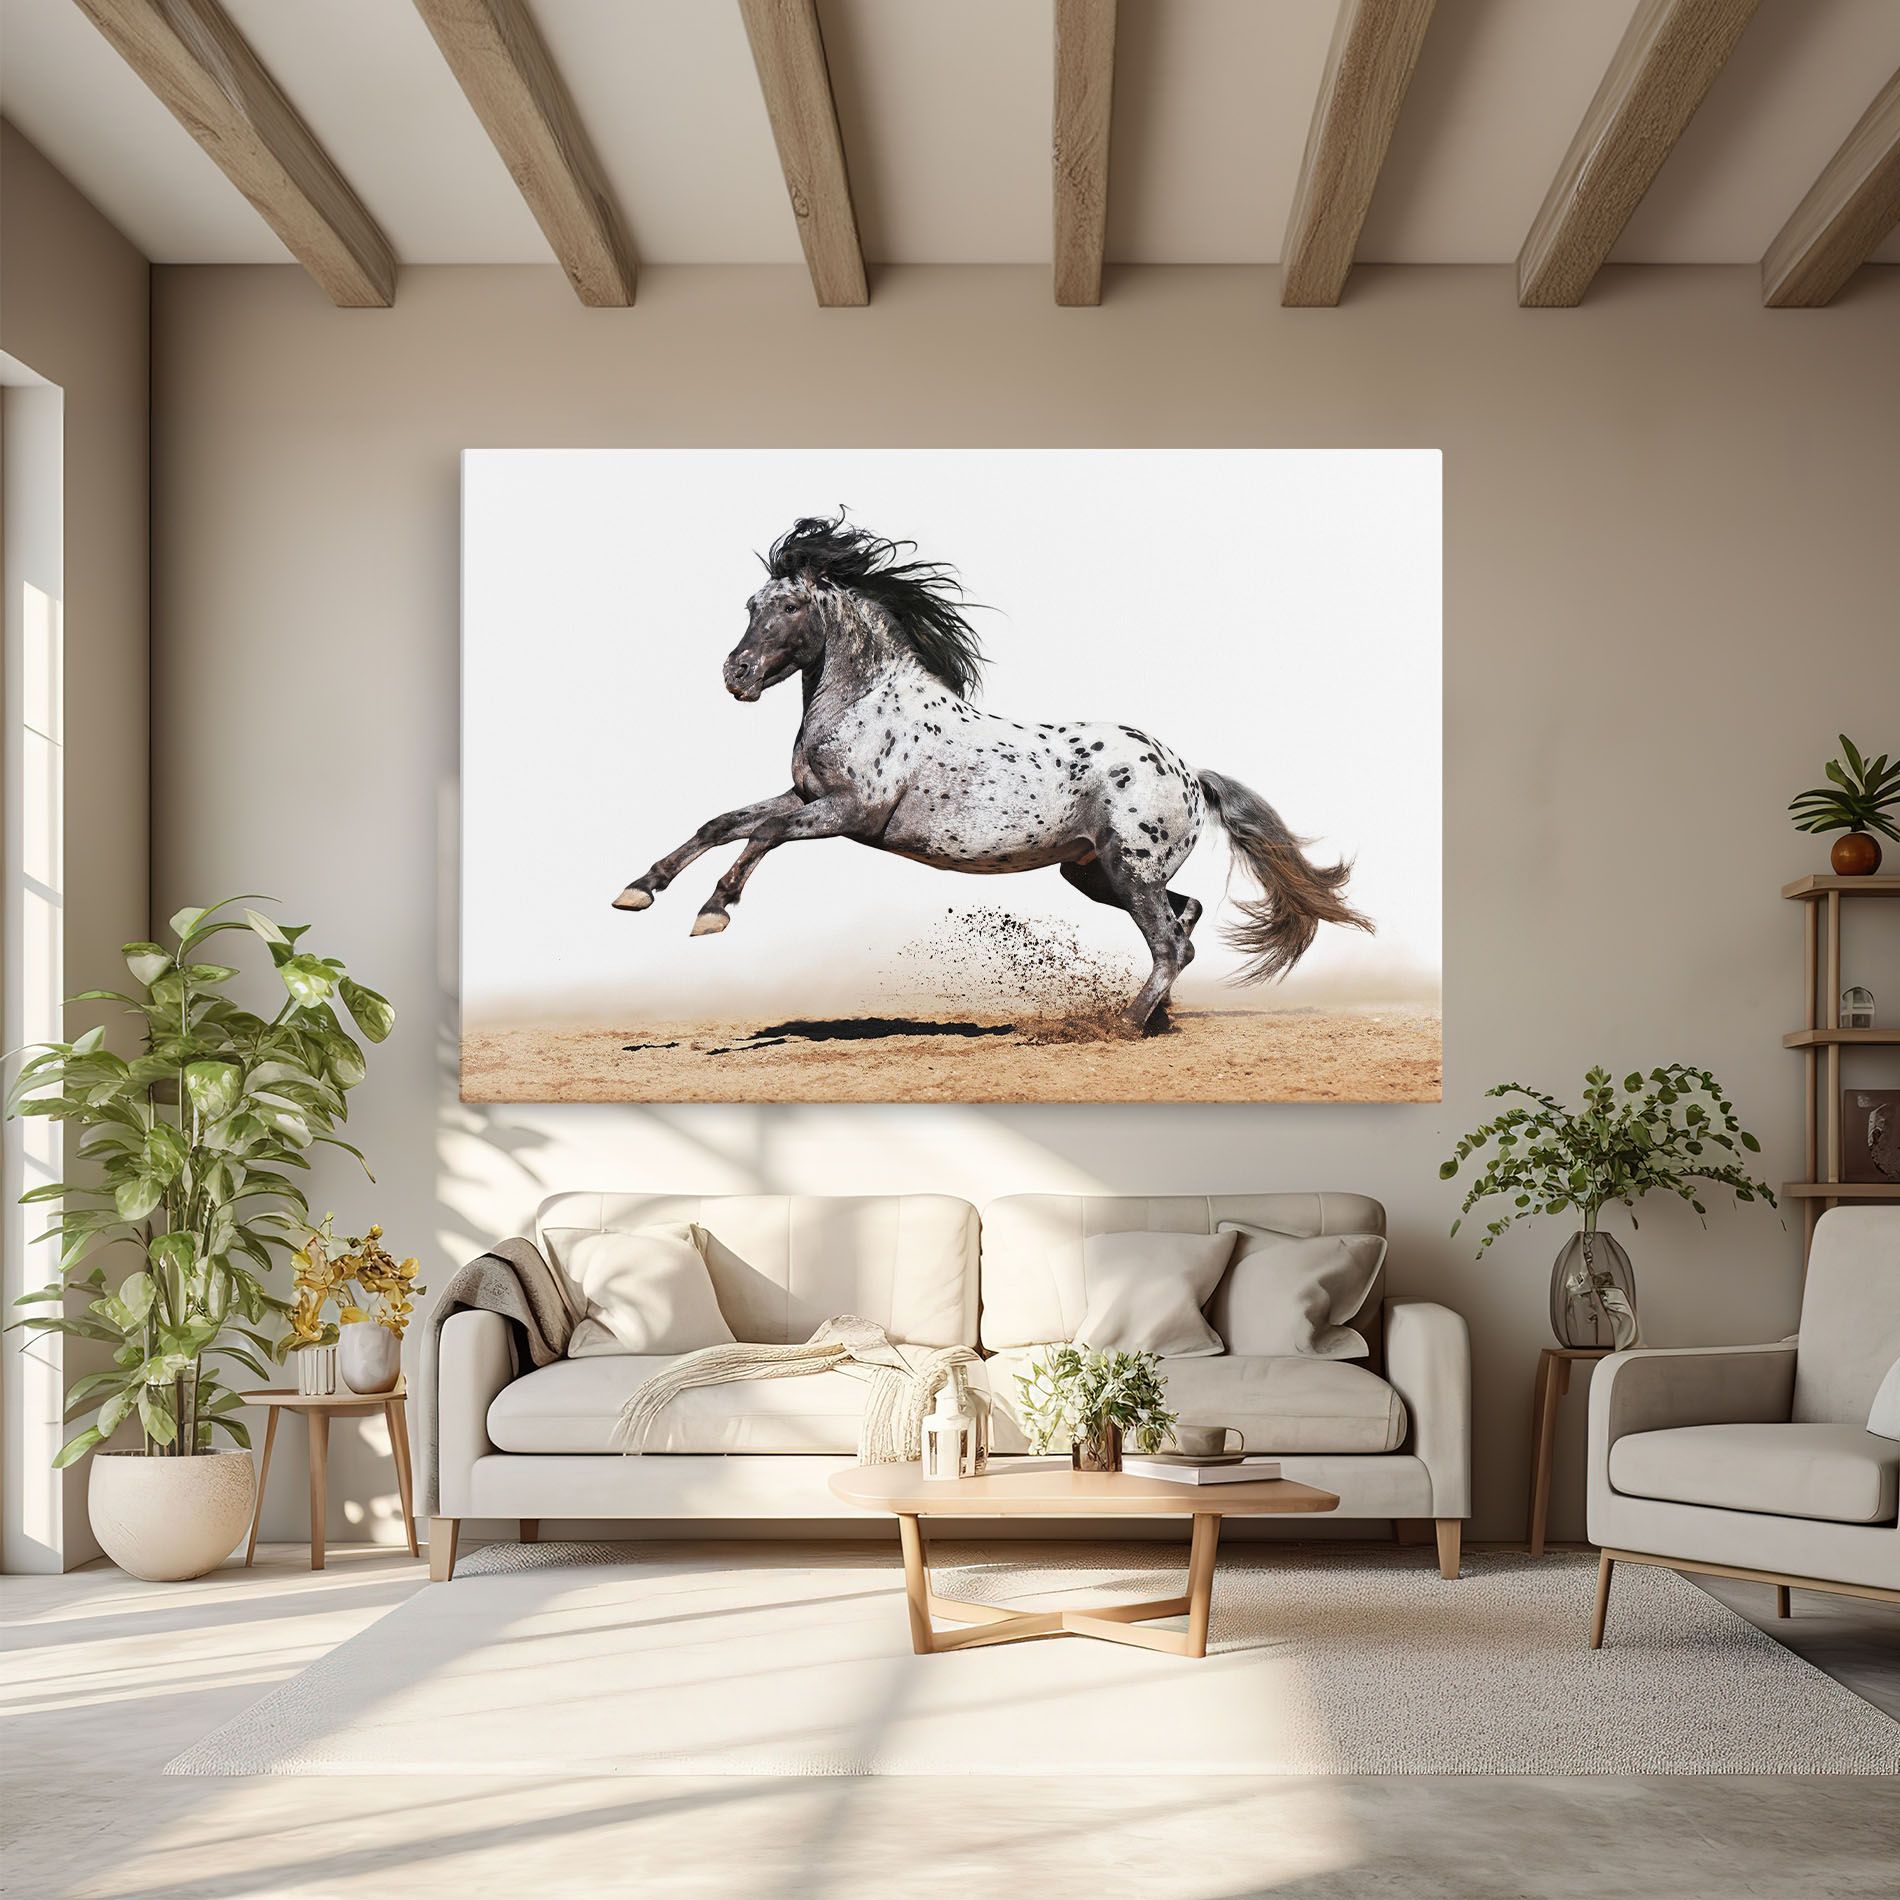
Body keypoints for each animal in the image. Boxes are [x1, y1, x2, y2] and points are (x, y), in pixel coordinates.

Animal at [612, 514, 1371, 1033]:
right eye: (751, 606)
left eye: (792, 606)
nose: (736, 676)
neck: (867, 702)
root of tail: (1188, 771)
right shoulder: (808, 797)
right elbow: (726, 823)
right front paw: (643, 892)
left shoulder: (846, 814)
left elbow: (761, 834)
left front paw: (710, 911)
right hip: (1093, 872)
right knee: (1184, 922)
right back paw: (1156, 1019)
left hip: (1128, 870)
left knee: (1167, 943)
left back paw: (1122, 1026)